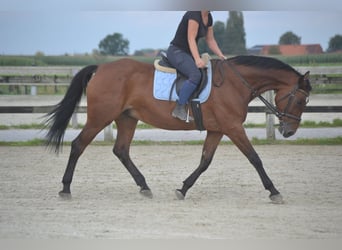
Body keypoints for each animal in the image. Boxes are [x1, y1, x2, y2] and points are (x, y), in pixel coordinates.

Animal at [45, 55, 312, 204]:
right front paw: (274, 191)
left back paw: (144, 187)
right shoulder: (233, 127)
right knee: (78, 145)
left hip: (127, 119)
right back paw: (66, 188)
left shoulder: (218, 130)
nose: (289, 131)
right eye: (301, 100)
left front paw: (182, 189)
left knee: (121, 150)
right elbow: (255, 158)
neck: (236, 83)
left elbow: (205, 161)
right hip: (100, 117)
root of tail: (101, 68)